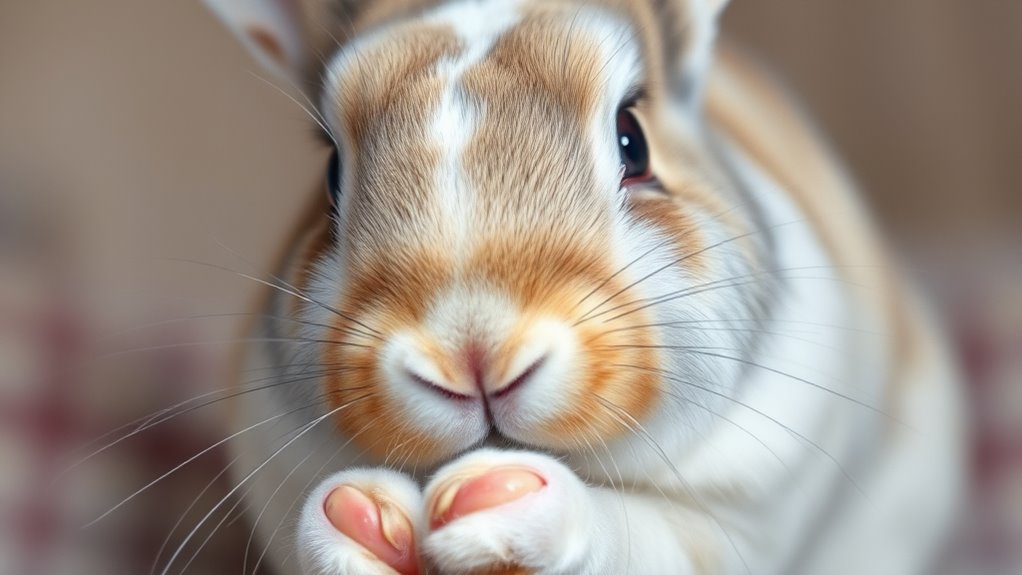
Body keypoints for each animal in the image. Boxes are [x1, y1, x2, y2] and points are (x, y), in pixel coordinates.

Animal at [201, 0, 966, 573]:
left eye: (633, 140)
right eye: (332, 175)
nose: (471, 350)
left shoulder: (738, 522)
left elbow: (634, 534)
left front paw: (490, 504)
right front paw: (363, 519)